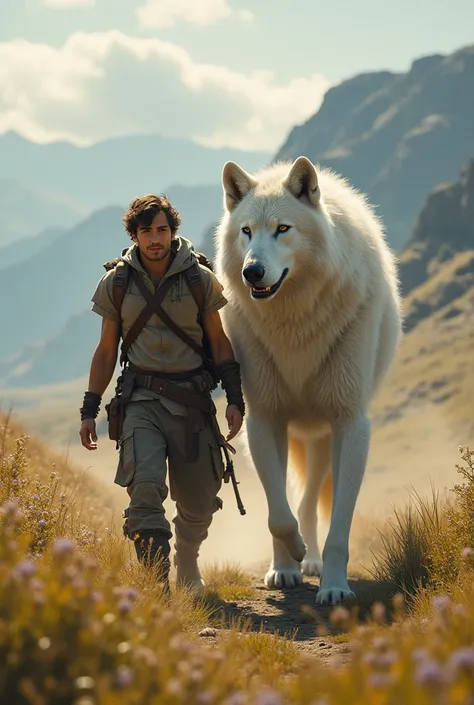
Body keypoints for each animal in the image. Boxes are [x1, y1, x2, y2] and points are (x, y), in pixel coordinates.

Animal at [215, 155, 404, 604]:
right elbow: (277, 515)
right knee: (296, 503)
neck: (294, 324)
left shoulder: (351, 423)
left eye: (283, 229)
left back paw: (315, 563)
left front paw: (334, 586)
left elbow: (337, 527)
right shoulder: (262, 421)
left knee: (310, 500)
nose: (253, 272)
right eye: (246, 231)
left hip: (323, 438)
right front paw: (287, 565)